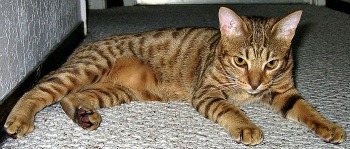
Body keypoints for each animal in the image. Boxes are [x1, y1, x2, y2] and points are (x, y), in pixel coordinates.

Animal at [4, 7, 346, 146]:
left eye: (272, 63)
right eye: (240, 61)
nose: (255, 83)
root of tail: (82, 46)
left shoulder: (284, 91)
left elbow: (308, 110)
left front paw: (328, 127)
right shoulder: (207, 92)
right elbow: (231, 109)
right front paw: (247, 126)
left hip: (113, 90)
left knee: (70, 97)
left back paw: (84, 115)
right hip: (86, 69)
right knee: (39, 89)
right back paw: (19, 118)